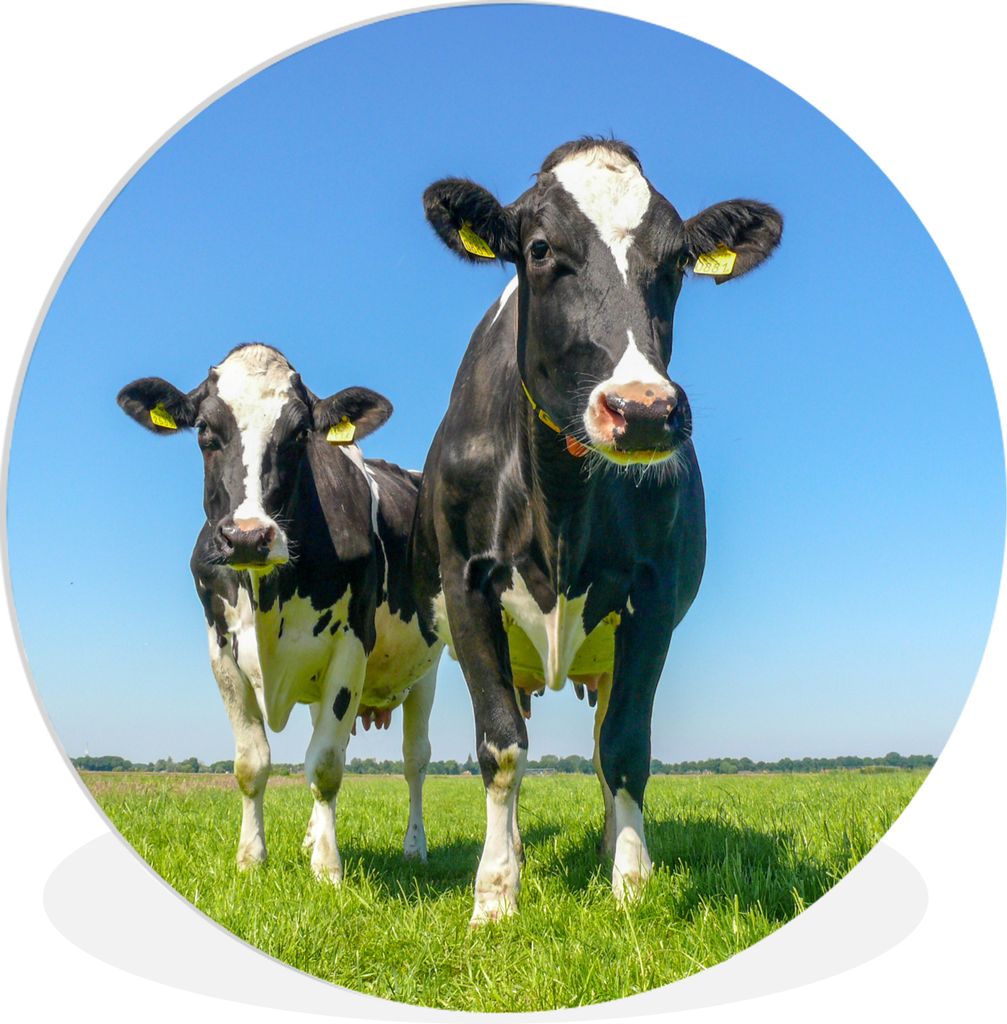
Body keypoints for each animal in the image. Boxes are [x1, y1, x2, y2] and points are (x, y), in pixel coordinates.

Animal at [117, 343, 443, 883]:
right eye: (204, 431)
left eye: (299, 434)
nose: (248, 535)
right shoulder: (221, 651)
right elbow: (253, 762)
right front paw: (252, 858)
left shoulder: (352, 644)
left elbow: (327, 763)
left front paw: (327, 869)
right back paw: (313, 834)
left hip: (429, 669)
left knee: (415, 760)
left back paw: (414, 846)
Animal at [413, 138, 782, 924]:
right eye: (540, 248)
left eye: (676, 261)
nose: (642, 410)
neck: (559, 498)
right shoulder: (467, 587)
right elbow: (501, 746)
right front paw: (495, 893)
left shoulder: (652, 597)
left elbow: (624, 747)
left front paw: (631, 884)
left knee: (602, 739)